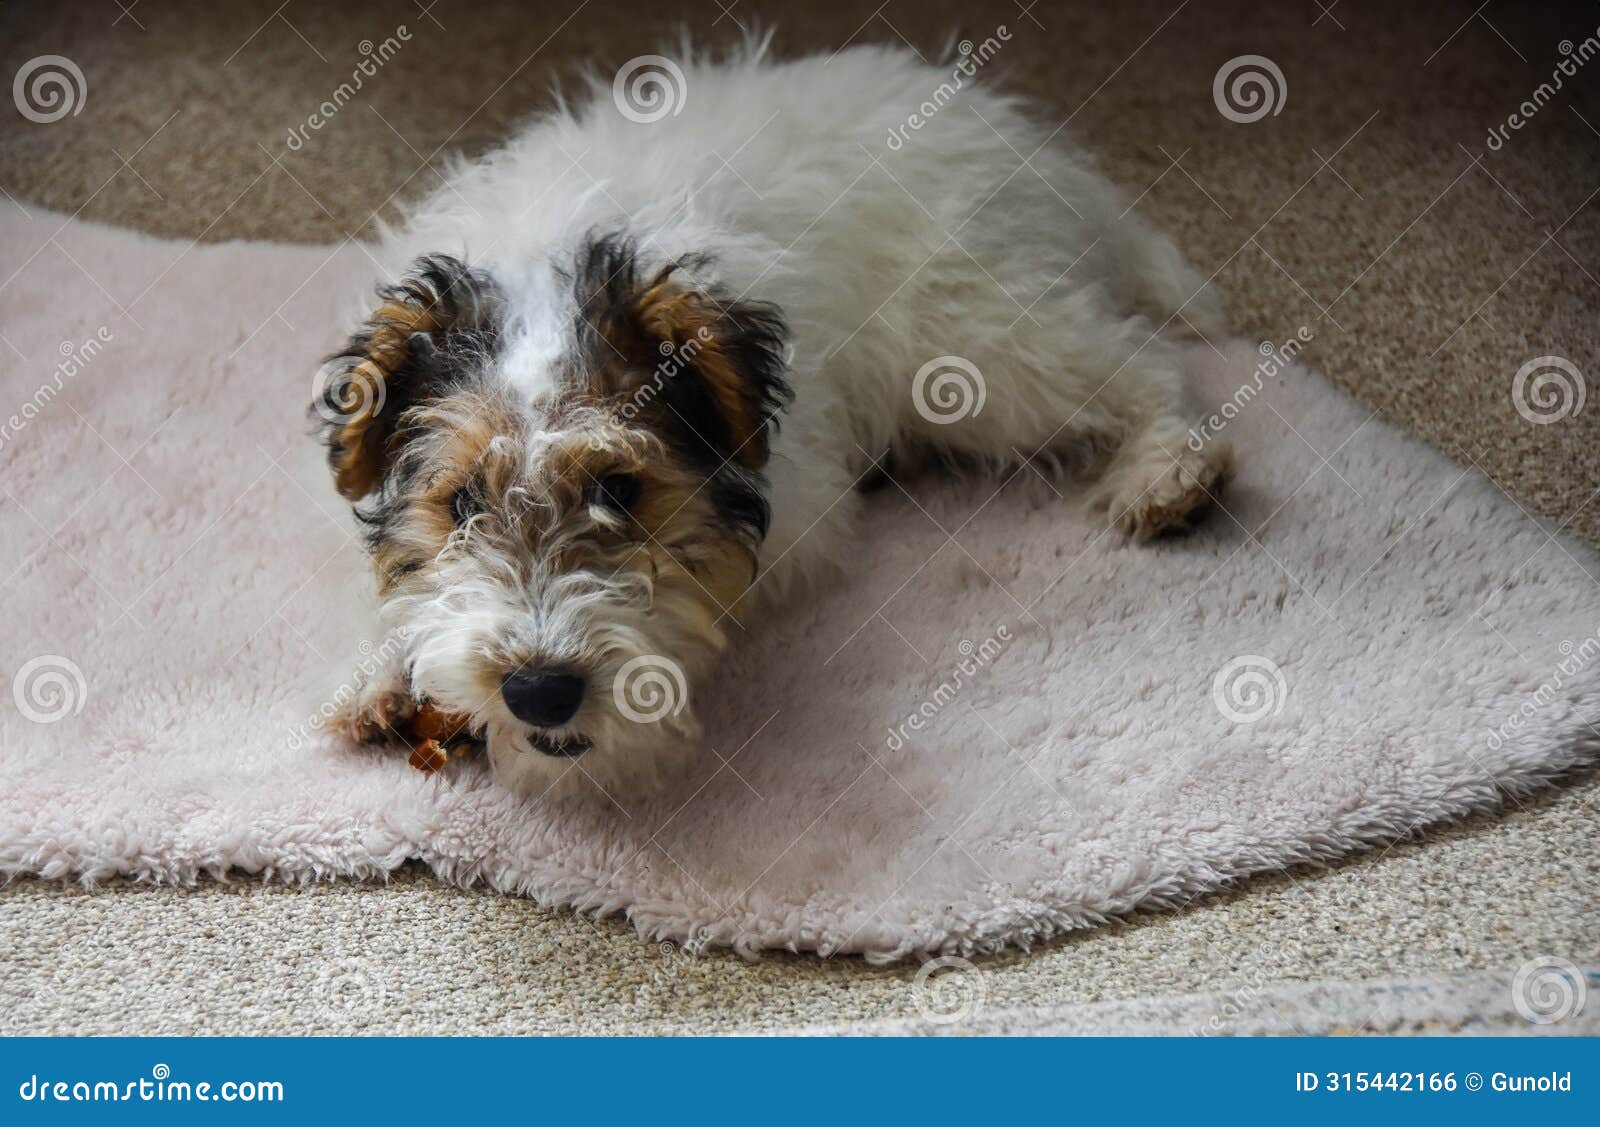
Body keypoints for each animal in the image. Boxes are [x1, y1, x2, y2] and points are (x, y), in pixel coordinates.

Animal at [318, 41, 1228, 794]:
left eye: (622, 489)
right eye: (463, 503)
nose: (539, 691)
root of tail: (1030, 149)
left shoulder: (805, 499)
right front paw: (378, 671)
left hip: (982, 350)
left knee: (1145, 360)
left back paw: (1169, 472)